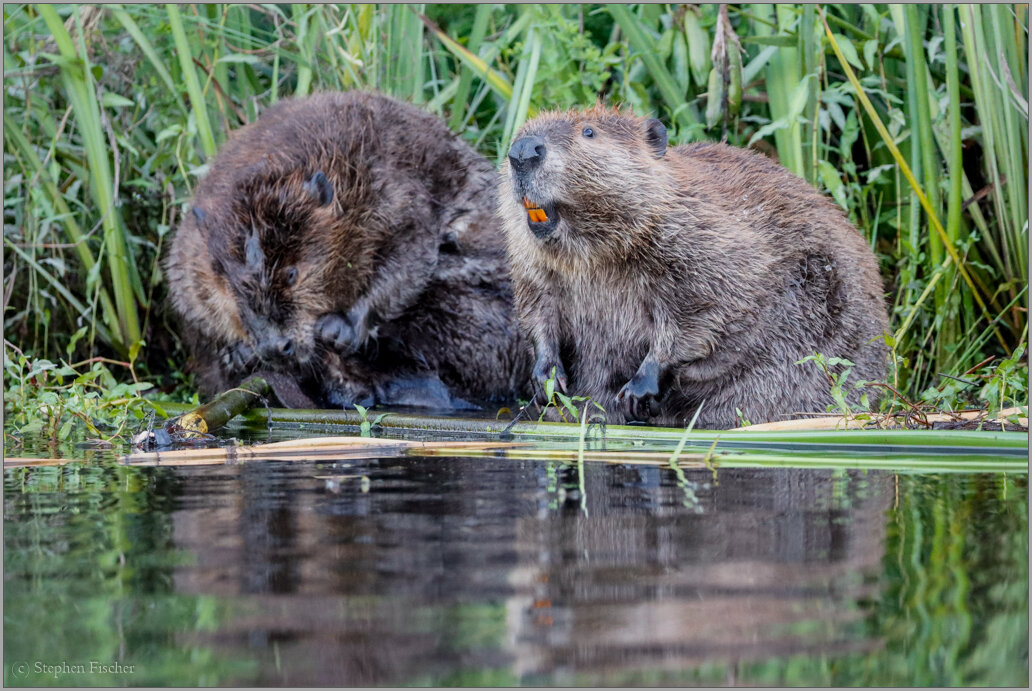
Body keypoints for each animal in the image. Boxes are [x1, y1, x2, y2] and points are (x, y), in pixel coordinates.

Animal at [167, 89, 532, 408]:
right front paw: (238, 351)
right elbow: (190, 302)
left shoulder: (394, 189)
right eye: (229, 285)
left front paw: (338, 328)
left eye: (292, 273)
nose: (275, 348)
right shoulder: (189, 249)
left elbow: (409, 257)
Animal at [495, 103, 891, 431]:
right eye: (522, 129)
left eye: (589, 131)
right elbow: (537, 308)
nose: (523, 151)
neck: (590, 254)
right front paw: (547, 379)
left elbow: (705, 309)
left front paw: (638, 390)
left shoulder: (709, 241)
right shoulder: (534, 266)